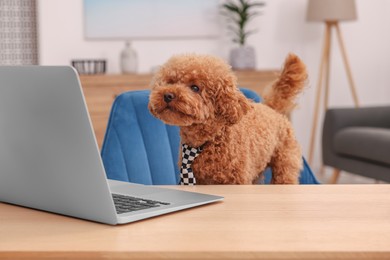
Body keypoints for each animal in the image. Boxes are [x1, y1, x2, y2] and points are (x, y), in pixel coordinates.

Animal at [149, 52, 308, 184]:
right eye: (171, 81)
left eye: (195, 88)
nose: (167, 95)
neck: (210, 140)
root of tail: (271, 108)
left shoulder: (237, 180)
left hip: (285, 164)